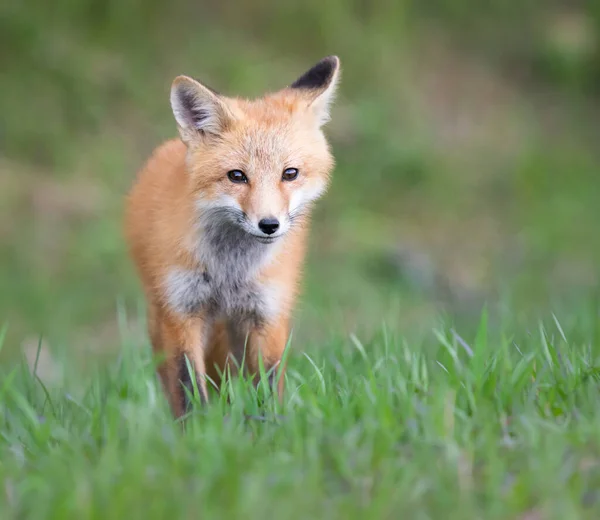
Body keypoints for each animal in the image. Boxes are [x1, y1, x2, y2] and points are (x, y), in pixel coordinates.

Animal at [125, 54, 342, 416]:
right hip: (161, 318)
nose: (269, 225)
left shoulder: (266, 315)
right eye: (237, 176)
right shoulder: (182, 312)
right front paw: (198, 428)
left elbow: (268, 386)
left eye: (290, 173)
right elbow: (188, 387)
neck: (230, 271)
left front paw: (270, 426)